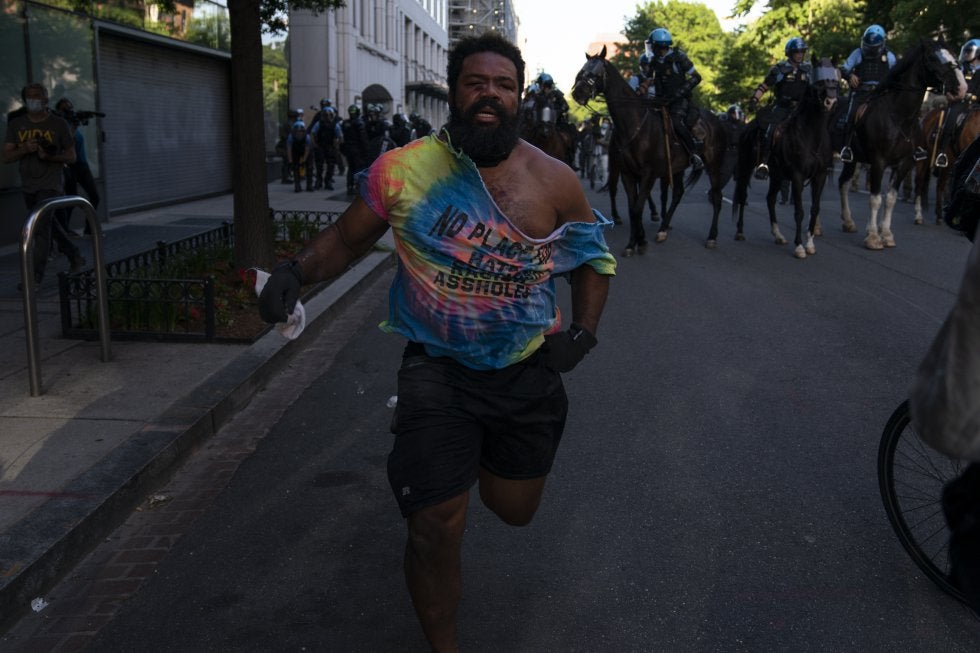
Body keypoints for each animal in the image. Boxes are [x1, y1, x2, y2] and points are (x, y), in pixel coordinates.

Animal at [572, 45, 732, 253]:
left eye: (596, 73)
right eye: (582, 70)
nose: (577, 93)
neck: (635, 125)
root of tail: (717, 121)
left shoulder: (648, 174)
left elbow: (638, 207)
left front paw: (638, 242)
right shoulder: (628, 174)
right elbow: (633, 207)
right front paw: (635, 242)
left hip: (712, 164)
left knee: (717, 196)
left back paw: (711, 236)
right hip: (677, 167)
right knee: (677, 193)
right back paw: (663, 229)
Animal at [736, 56, 844, 258]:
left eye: (835, 81)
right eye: (819, 82)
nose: (831, 101)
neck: (811, 134)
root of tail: (750, 124)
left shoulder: (819, 176)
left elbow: (814, 209)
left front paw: (810, 244)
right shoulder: (797, 176)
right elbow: (799, 211)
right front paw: (799, 246)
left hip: (777, 175)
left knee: (770, 199)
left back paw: (778, 235)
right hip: (746, 166)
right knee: (742, 195)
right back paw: (739, 231)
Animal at [836, 38, 964, 248]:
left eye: (953, 55)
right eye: (933, 59)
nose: (962, 88)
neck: (899, 116)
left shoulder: (904, 163)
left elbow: (890, 199)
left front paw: (886, 234)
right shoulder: (878, 161)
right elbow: (875, 199)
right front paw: (873, 237)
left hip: (853, 160)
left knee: (843, 183)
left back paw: (848, 222)